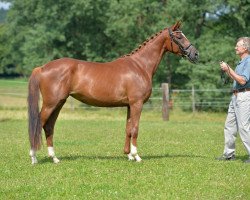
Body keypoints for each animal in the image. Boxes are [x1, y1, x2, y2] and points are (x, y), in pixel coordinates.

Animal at [27, 21, 199, 164]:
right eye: (179, 36)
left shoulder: (129, 105)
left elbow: (128, 129)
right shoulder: (136, 104)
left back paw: (54, 158)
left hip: (59, 103)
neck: (140, 66)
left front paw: (128, 155)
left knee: (49, 126)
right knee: (38, 124)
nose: (195, 54)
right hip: (51, 103)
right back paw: (34, 157)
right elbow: (135, 129)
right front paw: (137, 156)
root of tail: (42, 68)